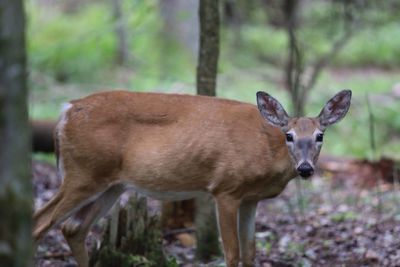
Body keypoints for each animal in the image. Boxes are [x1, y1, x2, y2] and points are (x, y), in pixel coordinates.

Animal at [32, 90, 352, 267]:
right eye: (289, 135)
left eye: (320, 136)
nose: (306, 169)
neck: (266, 148)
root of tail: (65, 112)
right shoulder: (226, 188)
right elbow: (233, 254)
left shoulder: (251, 199)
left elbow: (250, 253)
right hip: (83, 173)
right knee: (39, 223)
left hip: (111, 185)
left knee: (73, 229)